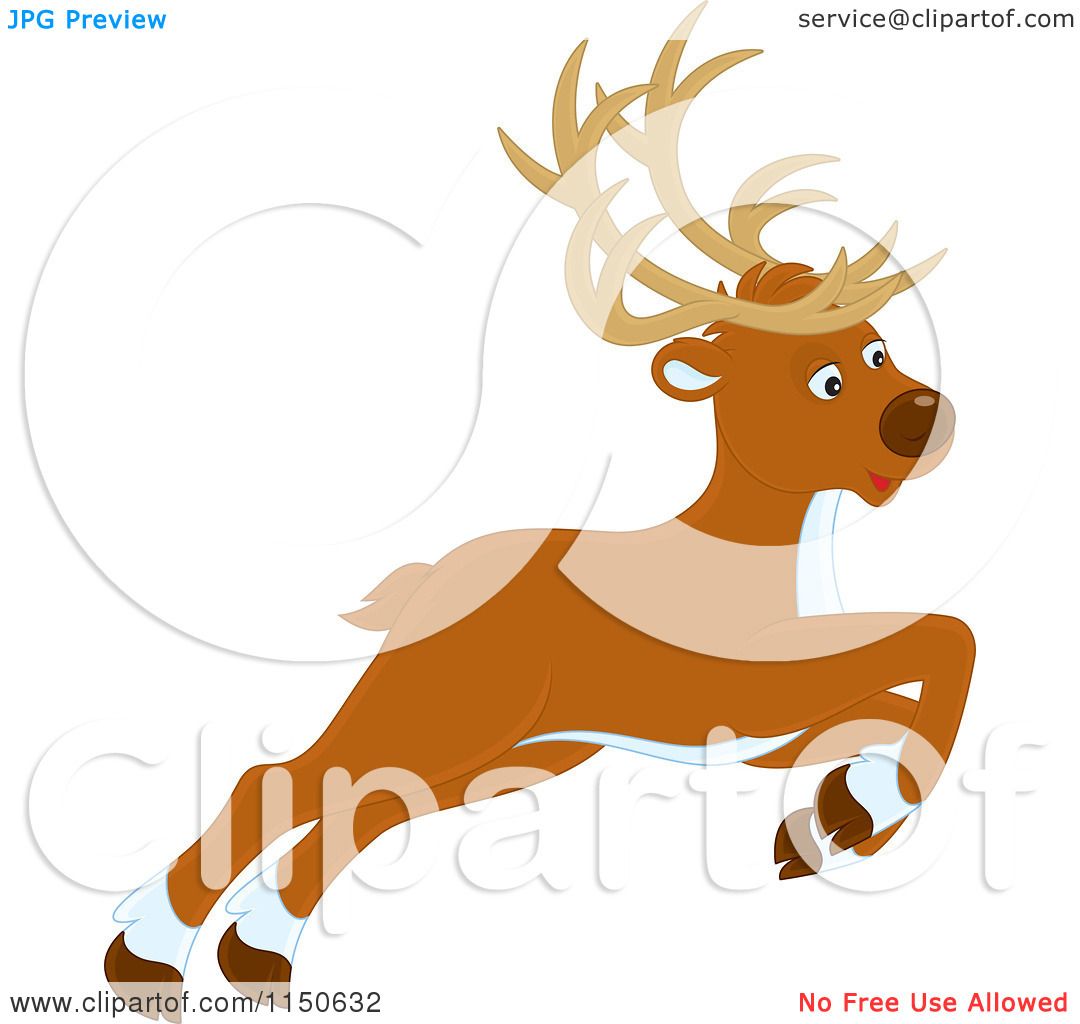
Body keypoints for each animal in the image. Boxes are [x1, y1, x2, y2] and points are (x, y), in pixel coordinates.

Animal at [103, 8, 973, 1019]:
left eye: (876, 348)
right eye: (822, 378)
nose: (923, 417)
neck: (769, 557)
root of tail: (425, 583)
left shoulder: (755, 734)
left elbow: (891, 705)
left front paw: (837, 814)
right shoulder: (746, 688)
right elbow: (944, 641)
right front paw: (852, 810)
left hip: (523, 748)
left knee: (367, 799)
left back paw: (254, 950)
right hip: (449, 708)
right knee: (286, 778)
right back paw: (149, 951)